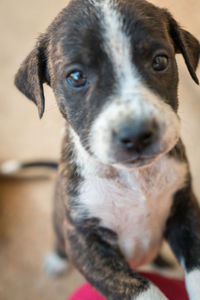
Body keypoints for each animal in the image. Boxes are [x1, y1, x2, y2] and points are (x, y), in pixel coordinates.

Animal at [14, 0, 200, 300]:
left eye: (160, 61)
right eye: (76, 77)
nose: (136, 134)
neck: (133, 178)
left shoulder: (185, 209)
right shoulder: (85, 243)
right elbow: (143, 289)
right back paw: (56, 259)